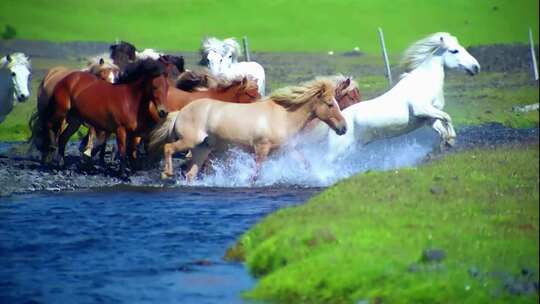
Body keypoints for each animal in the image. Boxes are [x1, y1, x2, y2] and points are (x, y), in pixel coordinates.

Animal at [33, 58, 168, 176]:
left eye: (166, 88)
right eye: (155, 87)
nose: (163, 112)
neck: (129, 101)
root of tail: (65, 79)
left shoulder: (133, 133)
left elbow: (132, 152)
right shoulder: (120, 130)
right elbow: (122, 151)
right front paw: (122, 174)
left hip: (75, 121)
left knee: (63, 138)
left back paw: (61, 164)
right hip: (60, 112)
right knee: (49, 125)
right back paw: (51, 150)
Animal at [150, 79, 348, 183]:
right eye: (330, 104)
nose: (343, 128)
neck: (283, 116)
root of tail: (180, 112)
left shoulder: (287, 149)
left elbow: (306, 164)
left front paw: (318, 176)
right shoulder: (261, 149)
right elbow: (256, 173)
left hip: (202, 148)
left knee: (191, 174)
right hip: (188, 142)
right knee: (168, 148)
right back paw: (166, 173)